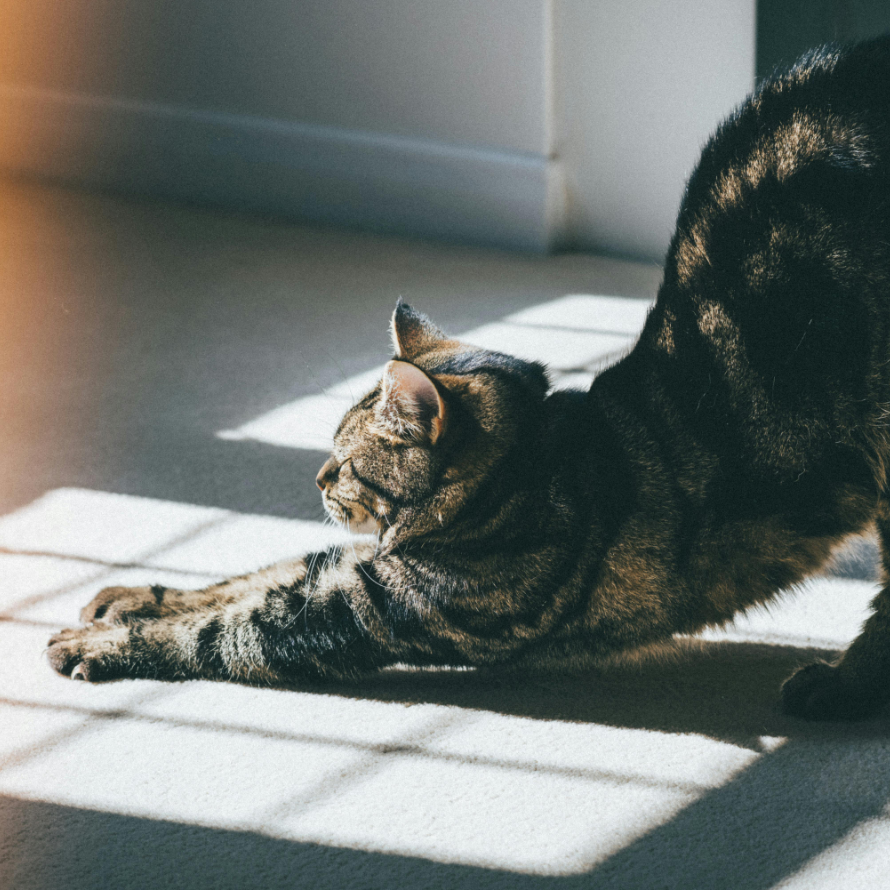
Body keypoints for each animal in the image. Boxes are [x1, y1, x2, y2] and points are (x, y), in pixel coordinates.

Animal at [50, 36, 890, 720]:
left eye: (344, 461)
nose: (315, 478)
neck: (527, 472)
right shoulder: (356, 569)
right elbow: (256, 573)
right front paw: (132, 598)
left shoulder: (365, 613)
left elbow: (225, 629)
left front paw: (105, 644)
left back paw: (839, 688)